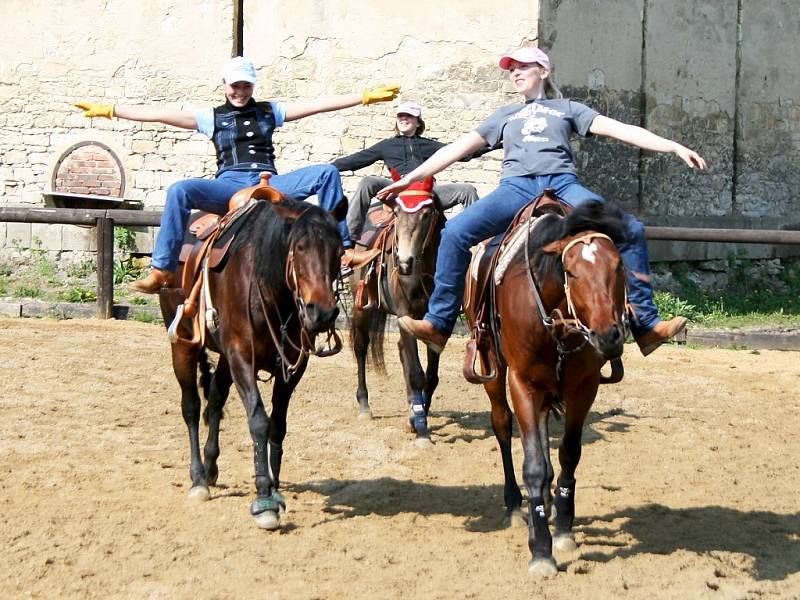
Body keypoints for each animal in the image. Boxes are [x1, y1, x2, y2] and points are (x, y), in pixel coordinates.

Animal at [158, 183, 342, 528]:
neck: (270, 289)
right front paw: (264, 500)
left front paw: (276, 489)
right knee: (191, 407)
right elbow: (259, 421)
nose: (322, 312)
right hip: (184, 345)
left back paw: (211, 466)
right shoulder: (242, 356)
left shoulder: (293, 366)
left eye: (339, 250)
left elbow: (278, 425)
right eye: (299, 247)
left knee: (215, 398)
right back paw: (198, 479)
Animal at [348, 177, 444, 446]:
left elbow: (430, 376)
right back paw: (364, 406)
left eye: (427, 213)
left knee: (403, 354)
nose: (403, 262)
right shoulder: (405, 314)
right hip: (362, 307)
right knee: (361, 348)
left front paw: (417, 416)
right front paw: (421, 430)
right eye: (398, 212)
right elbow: (416, 373)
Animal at [468, 202, 632, 576]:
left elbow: (569, 454)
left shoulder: (584, 386)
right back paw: (515, 506)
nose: (609, 335)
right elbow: (533, 466)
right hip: (492, 368)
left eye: (618, 265)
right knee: (502, 425)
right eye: (570, 272)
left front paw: (563, 528)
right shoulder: (523, 384)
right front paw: (541, 549)